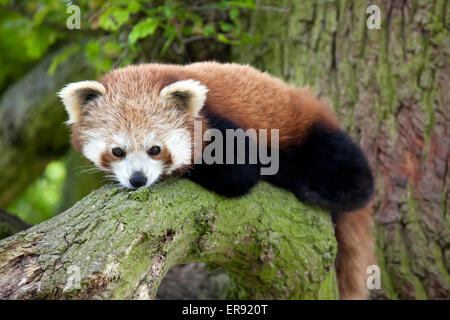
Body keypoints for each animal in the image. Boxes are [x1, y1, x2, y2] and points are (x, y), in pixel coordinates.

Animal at [59, 61, 376, 298]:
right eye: (117, 151)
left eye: (155, 149)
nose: (138, 179)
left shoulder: (226, 129)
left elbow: (239, 174)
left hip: (308, 130)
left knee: (348, 167)